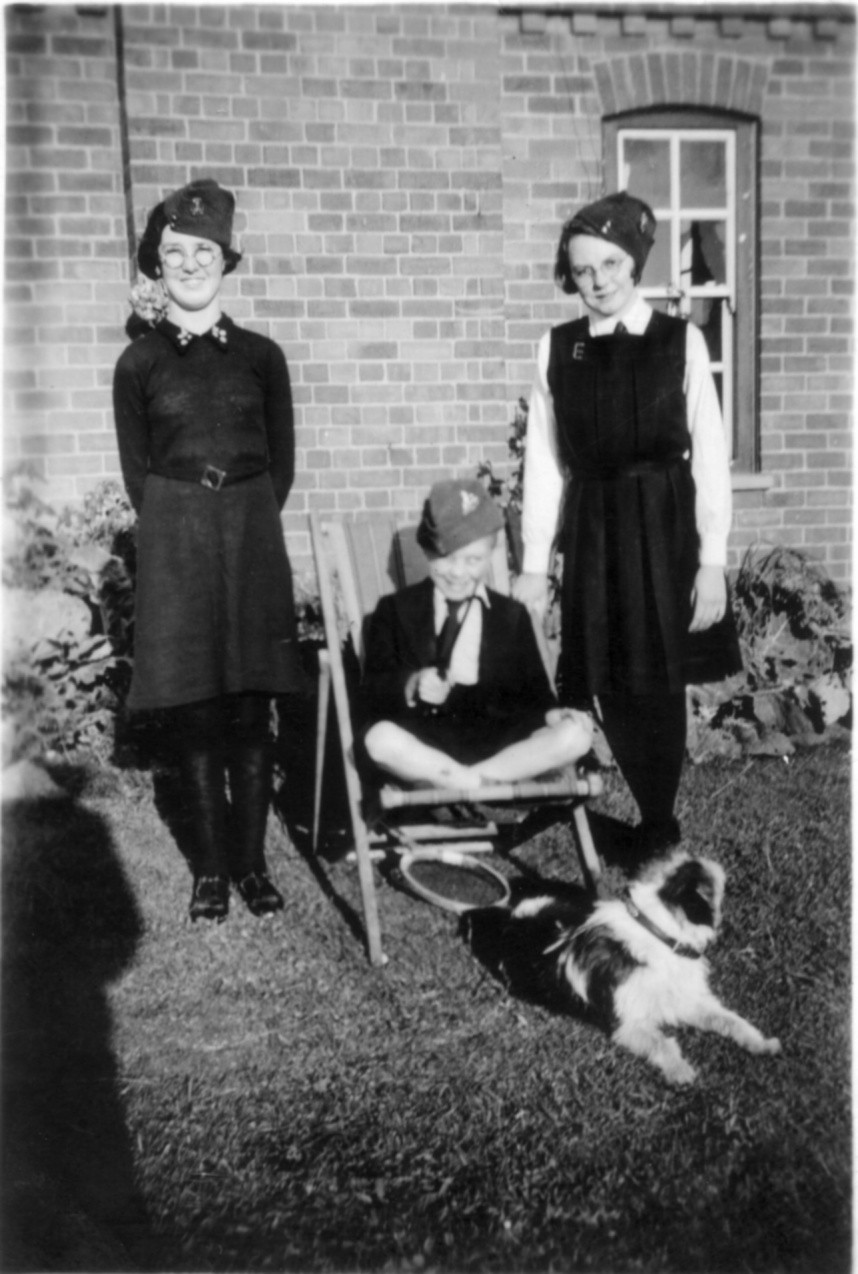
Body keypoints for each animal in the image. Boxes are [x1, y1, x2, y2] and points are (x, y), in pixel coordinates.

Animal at [463, 850, 781, 1086]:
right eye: (718, 882)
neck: (658, 936)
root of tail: (510, 915)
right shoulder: (629, 1024)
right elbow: (663, 1043)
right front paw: (679, 1070)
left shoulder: (688, 1001)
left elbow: (730, 1020)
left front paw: (761, 1043)